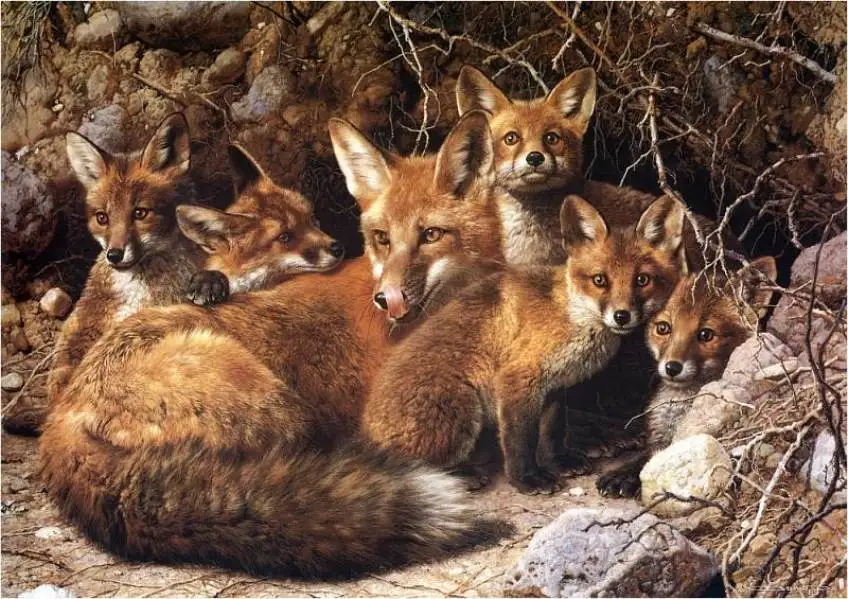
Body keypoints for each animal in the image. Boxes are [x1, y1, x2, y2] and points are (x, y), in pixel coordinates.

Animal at [37, 110, 506, 575]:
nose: (389, 299)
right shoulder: (391, 419)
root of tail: (61, 415)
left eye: (431, 235)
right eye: (382, 238)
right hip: (282, 410)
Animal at [362, 194, 688, 494]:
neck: (567, 315)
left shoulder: (555, 386)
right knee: (414, 467)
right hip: (462, 412)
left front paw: (560, 461)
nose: (622, 316)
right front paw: (527, 479)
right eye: (600, 280)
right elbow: (520, 441)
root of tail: (363, 427)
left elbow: (552, 433)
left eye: (642, 280)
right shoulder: (517, 379)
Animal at [596, 256, 777, 497]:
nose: (672, 367)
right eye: (663, 328)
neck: (682, 406)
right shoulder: (660, 437)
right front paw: (622, 471)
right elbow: (645, 455)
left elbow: (652, 461)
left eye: (706, 334)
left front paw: (625, 477)